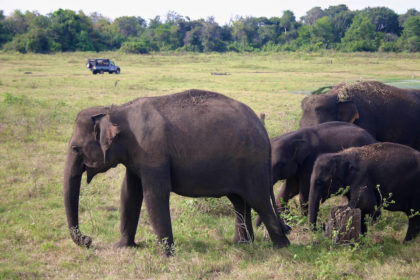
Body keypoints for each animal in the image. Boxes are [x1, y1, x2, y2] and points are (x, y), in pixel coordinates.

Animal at [63, 89, 292, 254]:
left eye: (75, 148)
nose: (88, 240)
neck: (116, 110)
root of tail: (263, 128)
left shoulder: (152, 152)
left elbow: (154, 195)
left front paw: (166, 254)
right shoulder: (136, 157)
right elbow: (129, 194)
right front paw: (122, 247)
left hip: (253, 162)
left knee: (258, 200)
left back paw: (282, 246)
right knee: (239, 200)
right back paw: (242, 244)